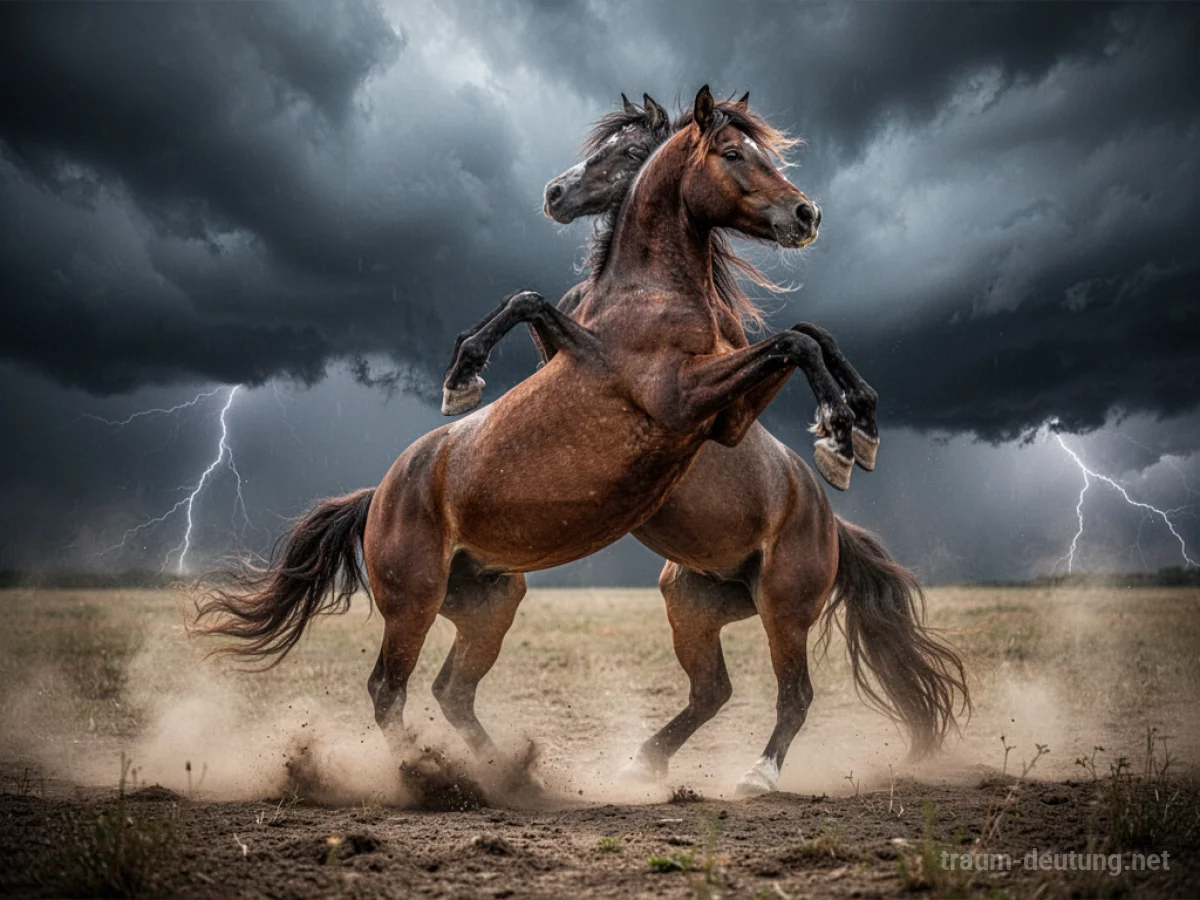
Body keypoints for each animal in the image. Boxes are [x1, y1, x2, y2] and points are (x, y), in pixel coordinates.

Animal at [441, 93, 970, 795]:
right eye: (735, 153)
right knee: (712, 691)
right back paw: (643, 761)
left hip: (783, 607)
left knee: (794, 694)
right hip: (693, 603)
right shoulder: (710, 406)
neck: (651, 294)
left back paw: (756, 775)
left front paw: (843, 430)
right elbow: (803, 335)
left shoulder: (681, 394)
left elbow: (799, 338)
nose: (554, 193)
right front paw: (854, 423)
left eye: (622, 152)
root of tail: (833, 529)